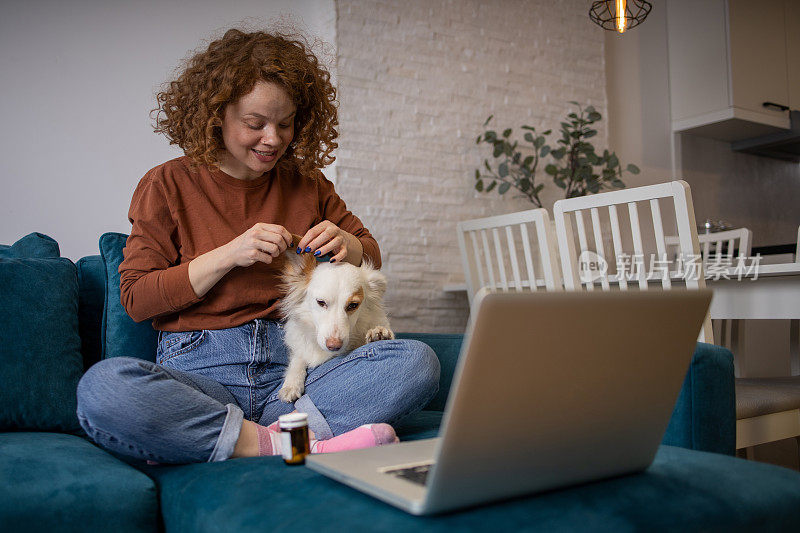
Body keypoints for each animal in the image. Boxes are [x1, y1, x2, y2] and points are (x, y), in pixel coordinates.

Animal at [276, 256, 396, 402]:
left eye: (353, 305)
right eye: (321, 302)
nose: (334, 346)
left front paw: (378, 334)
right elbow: (298, 358)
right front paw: (291, 384)